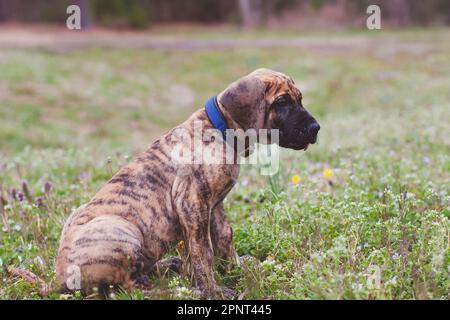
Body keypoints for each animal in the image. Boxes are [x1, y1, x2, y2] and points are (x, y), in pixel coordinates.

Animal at [54, 68, 318, 300]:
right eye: (282, 102)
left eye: (300, 99)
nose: (316, 128)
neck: (218, 129)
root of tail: (62, 278)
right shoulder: (192, 204)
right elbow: (203, 252)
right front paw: (212, 291)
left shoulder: (215, 205)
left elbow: (225, 237)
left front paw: (236, 267)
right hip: (120, 230)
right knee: (127, 288)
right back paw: (180, 290)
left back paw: (169, 265)